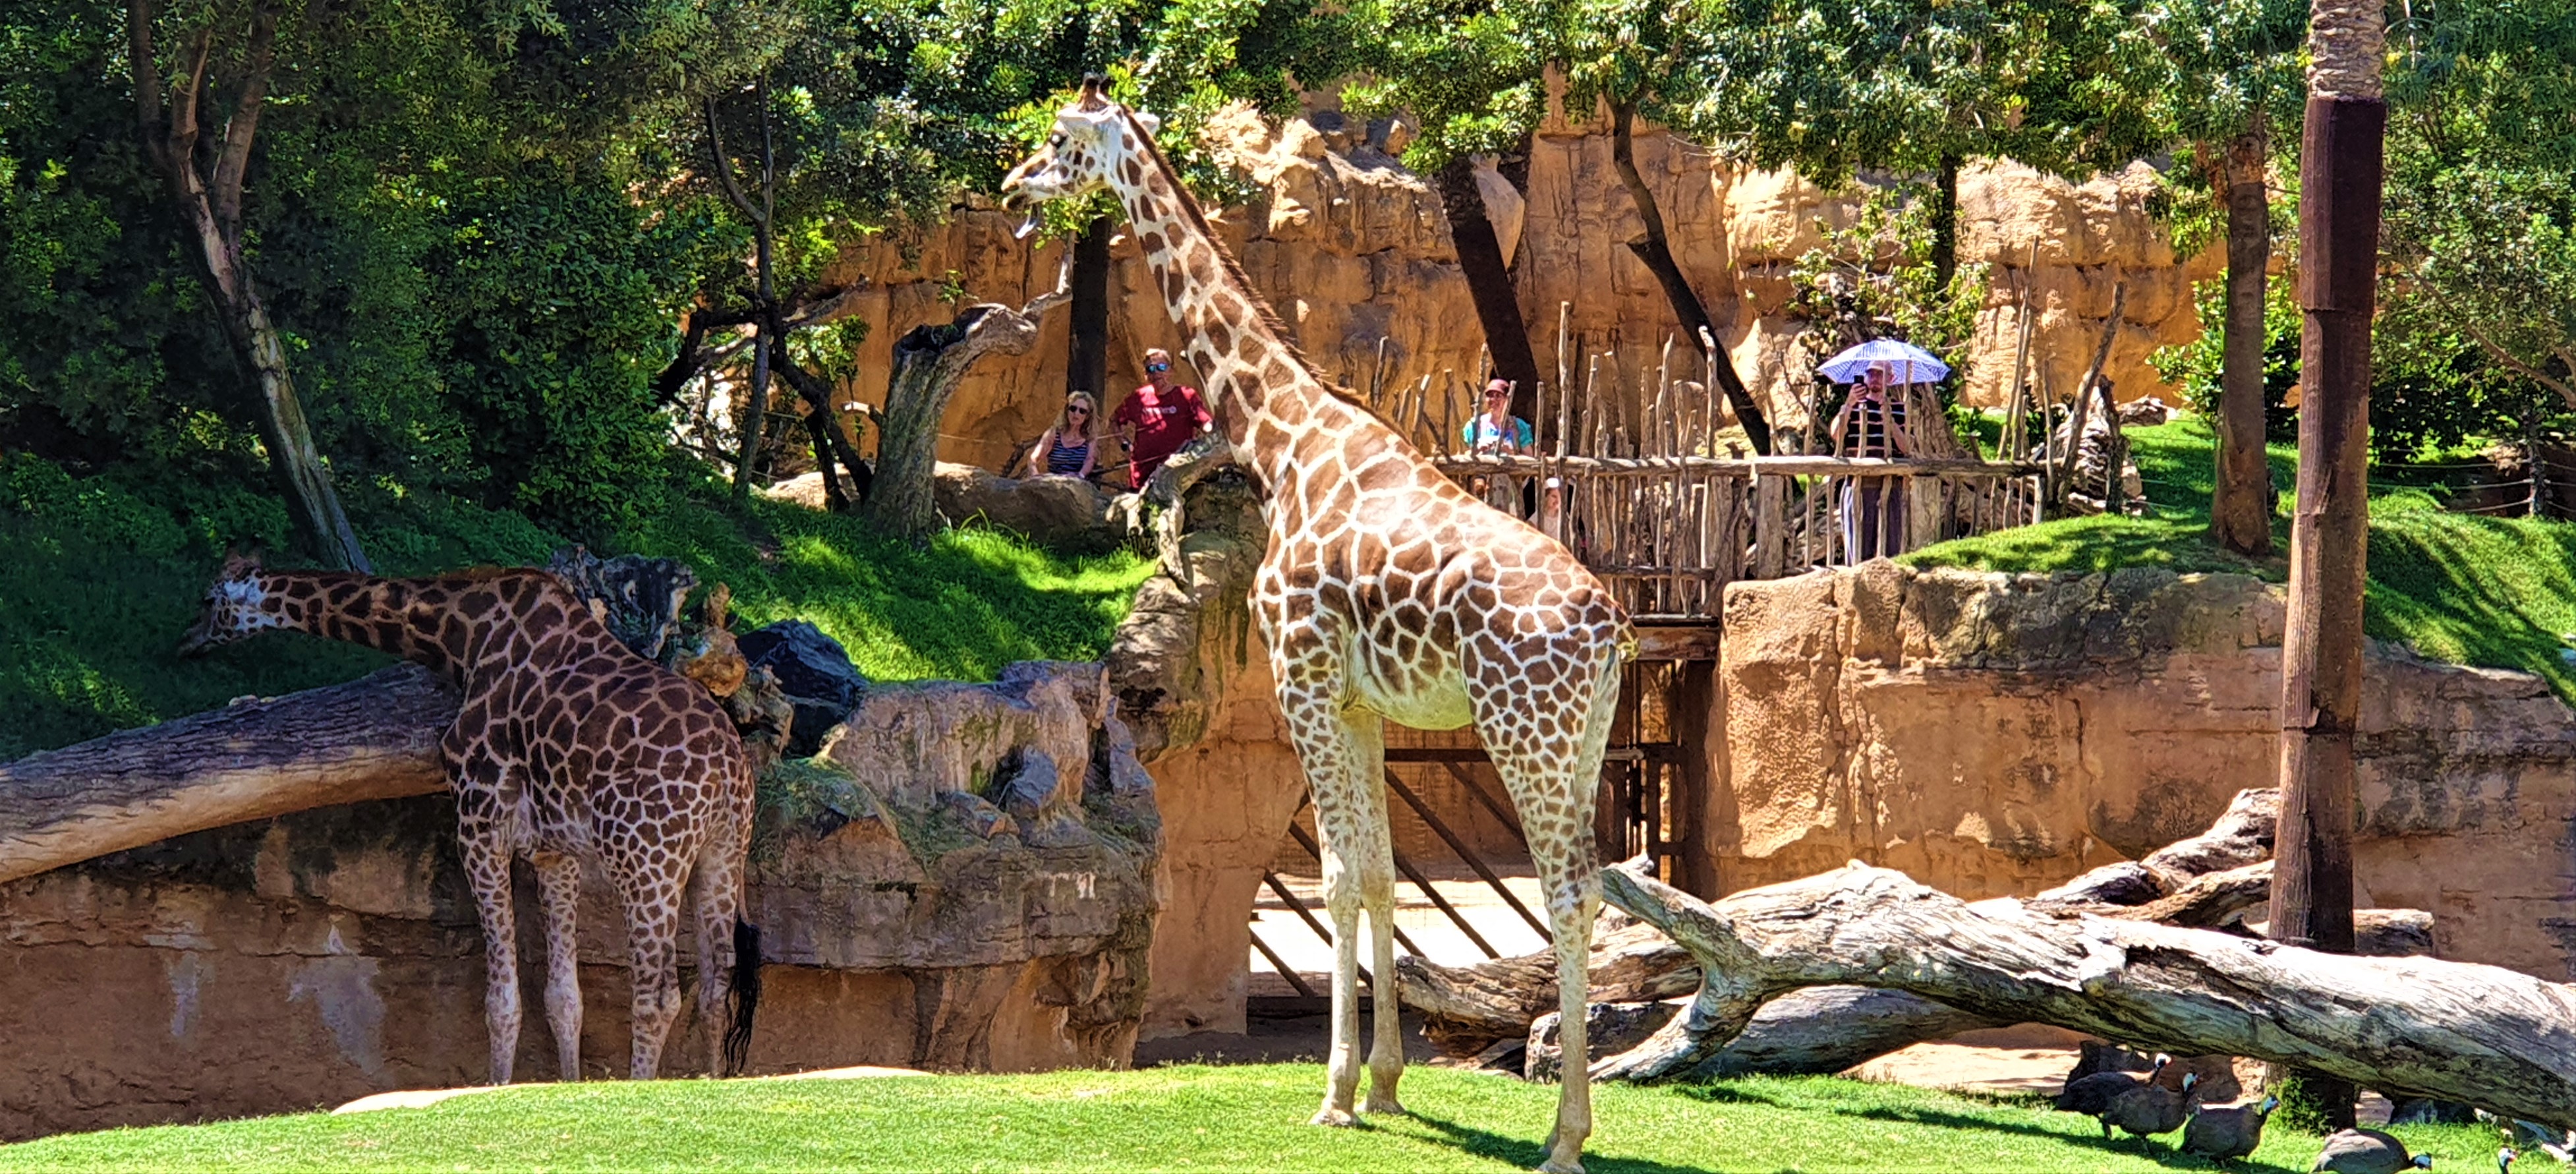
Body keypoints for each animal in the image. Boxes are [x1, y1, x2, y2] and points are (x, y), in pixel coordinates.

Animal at [181, 556, 752, 1081]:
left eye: (209, 600)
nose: (186, 641)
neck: (463, 638)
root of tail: (729, 768)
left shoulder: (479, 819)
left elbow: (501, 1001)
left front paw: (496, 1087)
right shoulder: (554, 849)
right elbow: (565, 996)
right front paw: (569, 1085)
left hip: (645, 853)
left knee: (658, 991)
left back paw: (641, 1089)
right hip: (724, 851)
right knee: (717, 983)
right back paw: (711, 1083)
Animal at [999, 78, 1628, 1169]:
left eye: (1060, 139)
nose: (1008, 186)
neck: (1286, 442)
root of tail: (1606, 623)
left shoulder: (1304, 680)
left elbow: (1333, 880)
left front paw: (1334, 1094)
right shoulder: (1364, 701)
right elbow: (1375, 876)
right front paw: (1385, 1083)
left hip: (1525, 731)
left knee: (1569, 893)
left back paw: (1565, 1135)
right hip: (1582, 736)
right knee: (1580, 888)